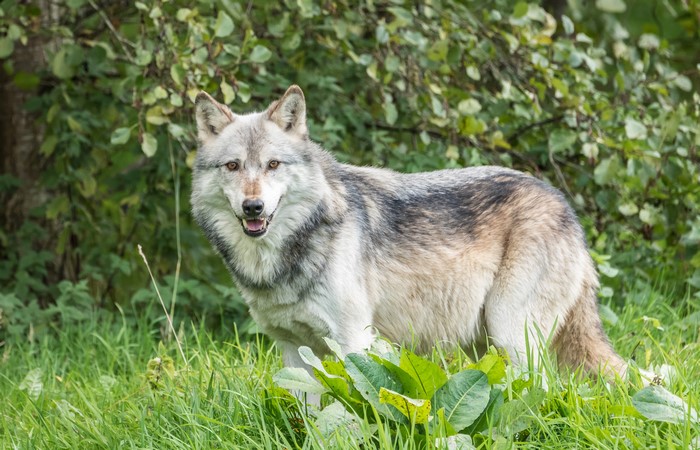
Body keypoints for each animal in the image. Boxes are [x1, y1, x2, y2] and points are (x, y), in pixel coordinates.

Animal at [191, 85, 627, 379]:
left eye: (273, 165)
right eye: (233, 166)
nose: (253, 207)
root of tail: (566, 207)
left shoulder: (354, 341)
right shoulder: (292, 350)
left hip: (510, 333)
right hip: (484, 343)